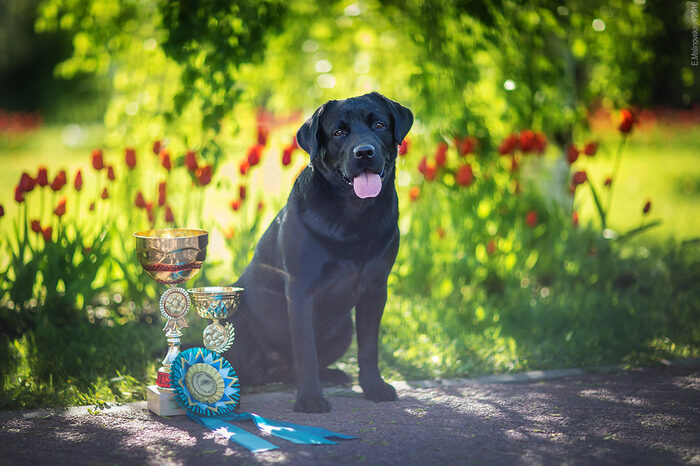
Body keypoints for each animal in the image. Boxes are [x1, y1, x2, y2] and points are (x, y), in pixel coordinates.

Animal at [227, 93, 412, 414]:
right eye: (339, 133)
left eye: (378, 124)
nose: (365, 152)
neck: (355, 216)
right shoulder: (301, 289)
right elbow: (306, 350)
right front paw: (310, 398)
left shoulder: (376, 288)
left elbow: (369, 347)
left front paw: (373, 387)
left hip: (344, 329)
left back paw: (334, 375)